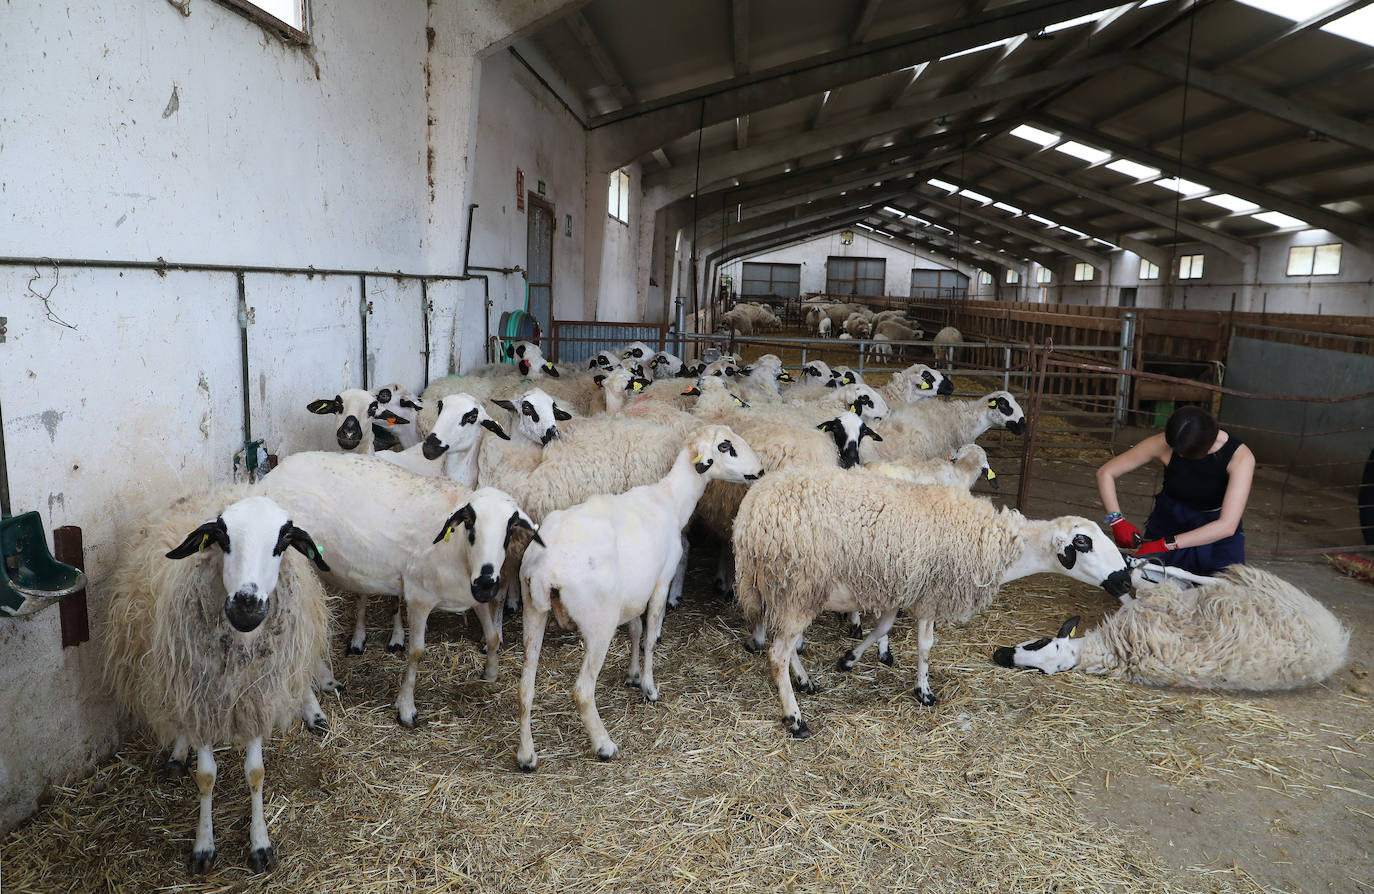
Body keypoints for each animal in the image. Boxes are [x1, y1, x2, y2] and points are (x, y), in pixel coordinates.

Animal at [516, 425, 769, 769]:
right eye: (725, 446)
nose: (760, 471)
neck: (671, 499)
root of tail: (545, 566)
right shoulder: (661, 580)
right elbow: (650, 636)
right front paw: (649, 687)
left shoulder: (635, 590)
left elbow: (636, 630)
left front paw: (633, 675)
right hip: (599, 623)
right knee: (582, 690)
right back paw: (604, 745)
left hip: (533, 610)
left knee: (524, 687)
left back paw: (526, 755)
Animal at [736, 469, 1132, 736]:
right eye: (1082, 543)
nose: (1126, 579)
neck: (999, 546)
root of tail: (752, 512)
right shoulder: (931, 594)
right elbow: (925, 646)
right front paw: (924, 692)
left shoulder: (902, 588)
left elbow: (882, 627)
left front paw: (850, 659)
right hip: (799, 585)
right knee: (777, 653)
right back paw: (795, 718)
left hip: (788, 590)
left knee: (786, 646)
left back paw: (805, 682)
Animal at [994, 565, 1346, 692]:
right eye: (1037, 670)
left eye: (1038, 642)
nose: (998, 654)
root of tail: (1336, 644)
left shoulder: (1158, 602)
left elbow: (1144, 582)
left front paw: (1140, 564)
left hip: (1266, 590)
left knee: (1212, 582)